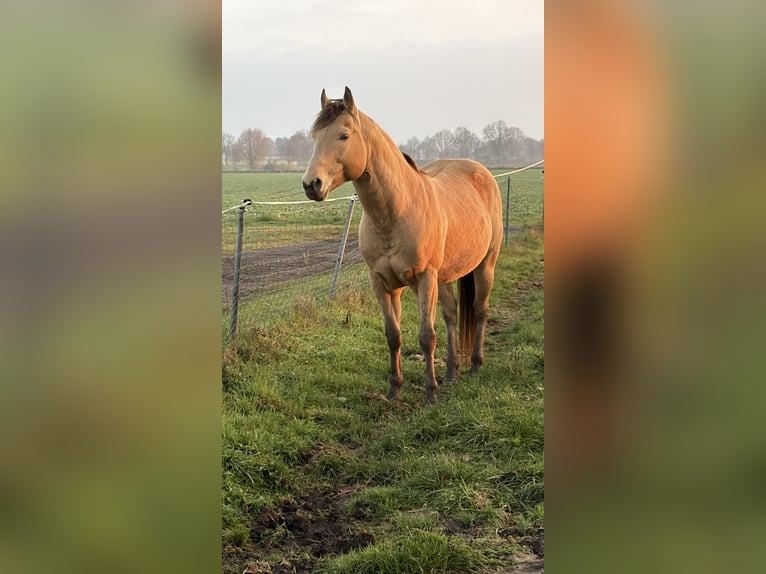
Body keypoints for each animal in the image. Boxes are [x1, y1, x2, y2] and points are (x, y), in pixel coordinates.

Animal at [302, 87, 503, 404]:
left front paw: (430, 394)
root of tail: (480, 172)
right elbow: (393, 335)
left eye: (344, 135)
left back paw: (474, 366)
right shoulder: (382, 283)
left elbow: (426, 336)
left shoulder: (424, 279)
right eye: (315, 137)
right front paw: (395, 390)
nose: (312, 185)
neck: (396, 212)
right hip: (444, 278)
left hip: (484, 266)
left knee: (480, 310)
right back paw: (451, 374)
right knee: (451, 315)